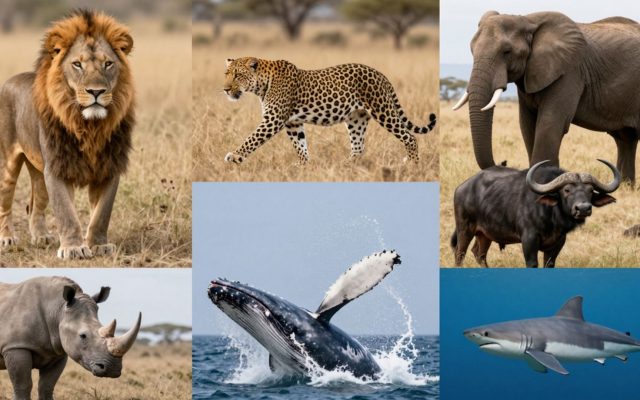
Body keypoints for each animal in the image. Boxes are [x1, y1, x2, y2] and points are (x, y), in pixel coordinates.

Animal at [0, 9, 135, 260]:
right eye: (77, 64)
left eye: (108, 64)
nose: (95, 91)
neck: (90, 126)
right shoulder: (57, 167)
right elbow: (66, 213)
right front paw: (73, 248)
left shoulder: (109, 168)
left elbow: (102, 213)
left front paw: (99, 245)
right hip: (7, 165)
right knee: (5, 200)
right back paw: (7, 238)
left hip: (38, 169)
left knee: (36, 203)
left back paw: (41, 236)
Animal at [453, 11, 640, 184]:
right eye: (471, 50)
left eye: (507, 51)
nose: (503, 162)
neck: (527, 20)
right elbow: (527, 124)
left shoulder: (569, 71)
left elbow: (550, 122)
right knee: (626, 139)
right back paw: (626, 186)